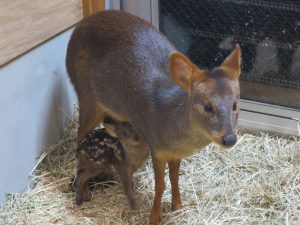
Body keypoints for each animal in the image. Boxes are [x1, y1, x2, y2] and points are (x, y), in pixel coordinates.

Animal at [66, 9, 241, 224]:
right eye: (207, 106)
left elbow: (174, 177)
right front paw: (154, 216)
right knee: (80, 135)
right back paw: (84, 192)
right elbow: (160, 184)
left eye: (235, 104)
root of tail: (79, 26)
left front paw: (178, 206)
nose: (229, 138)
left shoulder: (174, 152)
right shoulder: (156, 146)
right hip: (86, 96)